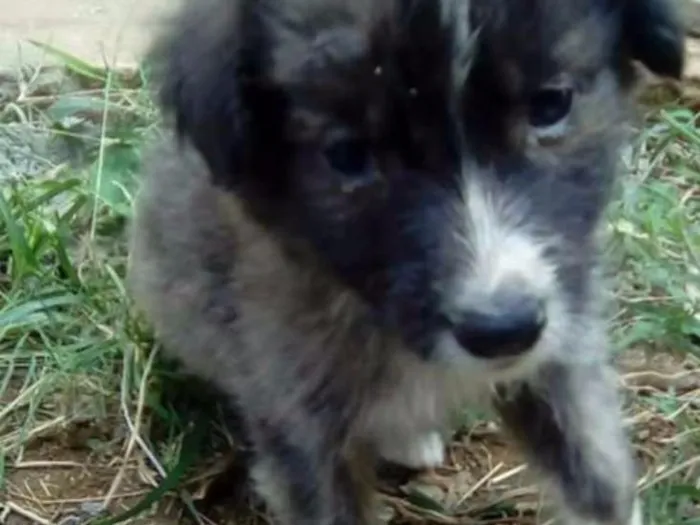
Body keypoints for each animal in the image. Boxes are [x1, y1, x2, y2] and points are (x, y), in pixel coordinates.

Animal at [126, 0, 684, 520]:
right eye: (348, 155)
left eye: (550, 105)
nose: (504, 330)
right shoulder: (301, 425)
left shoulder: (561, 354)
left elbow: (600, 481)